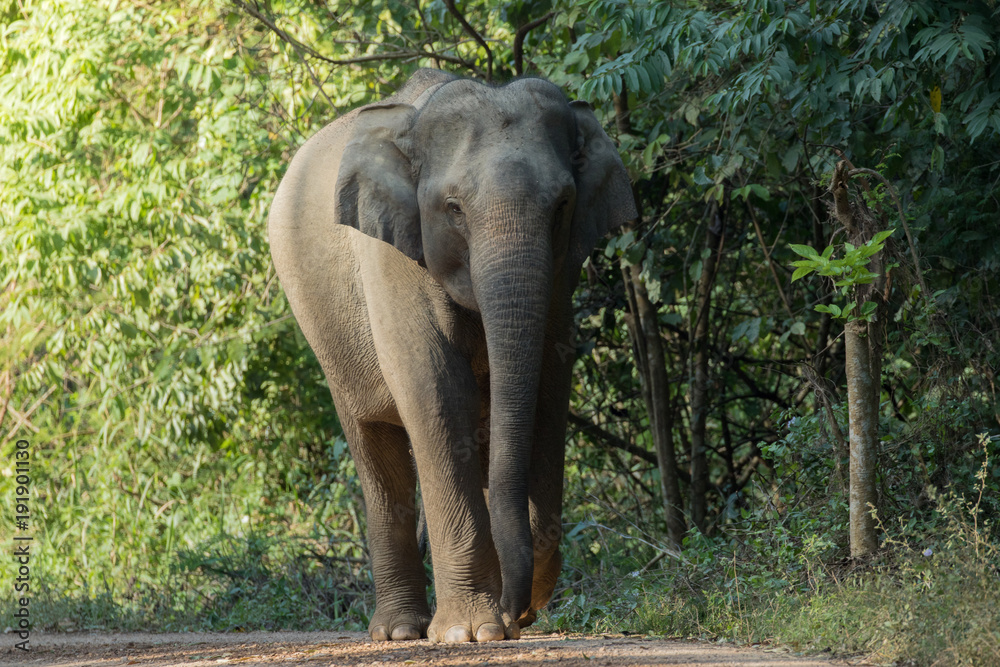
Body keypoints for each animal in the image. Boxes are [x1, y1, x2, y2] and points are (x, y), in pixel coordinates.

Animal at [270, 68, 636, 640]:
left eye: (562, 206)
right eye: (454, 208)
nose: (519, 612)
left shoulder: (561, 278)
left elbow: (548, 387)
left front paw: (504, 616)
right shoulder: (392, 258)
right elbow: (437, 392)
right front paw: (471, 632)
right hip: (323, 330)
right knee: (374, 447)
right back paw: (400, 631)